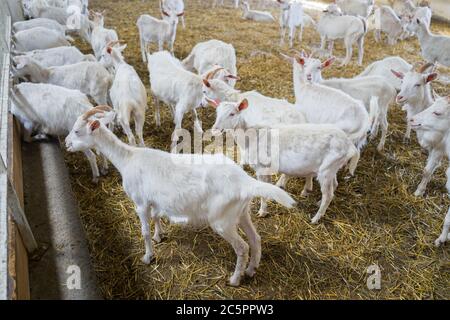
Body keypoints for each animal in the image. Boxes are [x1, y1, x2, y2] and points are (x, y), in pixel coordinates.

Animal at [64, 106, 296, 286]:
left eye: (77, 130)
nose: (66, 143)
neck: (128, 159)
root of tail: (245, 182)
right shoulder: (154, 200)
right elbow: (156, 216)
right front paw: (159, 236)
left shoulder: (140, 202)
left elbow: (144, 231)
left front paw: (148, 256)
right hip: (241, 212)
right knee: (255, 239)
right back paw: (250, 270)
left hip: (222, 220)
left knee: (242, 247)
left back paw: (234, 279)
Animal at [210, 99, 358, 222]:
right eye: (217, 113)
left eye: (232, 113)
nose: (215, 129)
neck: (251, 137)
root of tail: (350, 145)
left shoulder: (262, 168)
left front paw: (262, 212)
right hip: (331, 168)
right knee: (334, 185)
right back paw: (318, 203)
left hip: (327, 169)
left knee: (328, 195)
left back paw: (315, 218)